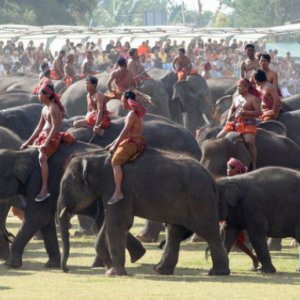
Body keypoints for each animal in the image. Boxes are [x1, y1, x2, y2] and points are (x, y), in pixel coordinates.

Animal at [58, 148, 230, 276]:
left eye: (67, 184)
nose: (67, 269)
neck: (94, 158)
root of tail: (210, 177)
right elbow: (111, 223)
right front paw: (110, 270)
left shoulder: (118, 187)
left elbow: (117, 223)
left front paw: (114, 273)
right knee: (174, 230)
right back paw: (161, 270)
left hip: (199, 200)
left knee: (207, 231)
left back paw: (218, 273)